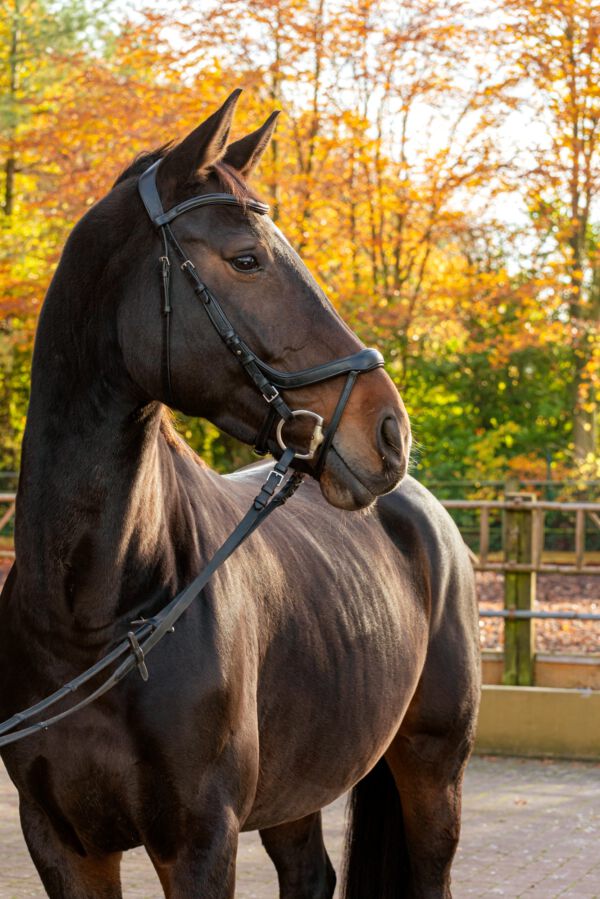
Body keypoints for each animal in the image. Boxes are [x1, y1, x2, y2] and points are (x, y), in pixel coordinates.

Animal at [0, 90, 480, 898]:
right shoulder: (62, 844)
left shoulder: (201, 840)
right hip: (299, 783)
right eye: (247, 259)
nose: (388, 428)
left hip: (433, 768)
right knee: (311, 873)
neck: (92, 614)